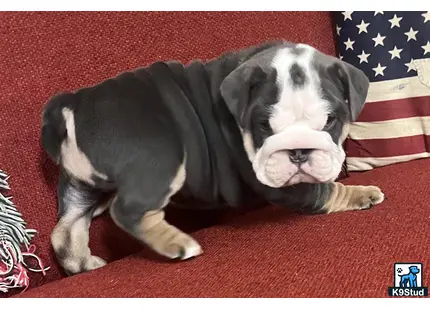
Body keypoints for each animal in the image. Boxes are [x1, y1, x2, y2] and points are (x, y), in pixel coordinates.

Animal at [41, 40, 382, 274]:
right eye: (263, 125)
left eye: (330, 120)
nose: (298, 150)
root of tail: (73, 103)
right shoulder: (276, 183)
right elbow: (325, 191)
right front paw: (361, 194)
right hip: (159, 157)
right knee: (128, 210)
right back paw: (179, 244)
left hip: (82, 186)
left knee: (67, 228)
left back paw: (82, 264)